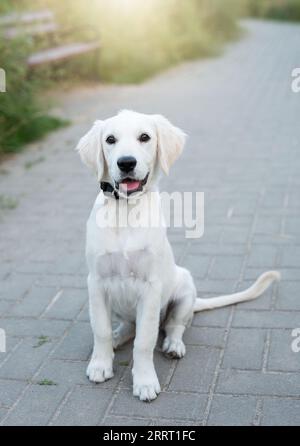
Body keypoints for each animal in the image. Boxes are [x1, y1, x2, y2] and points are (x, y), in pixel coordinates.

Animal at [77, 110, 278, 400]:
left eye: (145, 137)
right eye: (110, 139)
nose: (126, 163)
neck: (126, 211)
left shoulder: (150, 288)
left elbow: (145, 341)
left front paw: (145, 381)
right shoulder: (96, 282)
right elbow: (100, 330)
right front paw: (100, 364)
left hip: (184, 291)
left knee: (173, 325)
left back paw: (173, 345)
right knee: (129, 328)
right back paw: (117, 339)